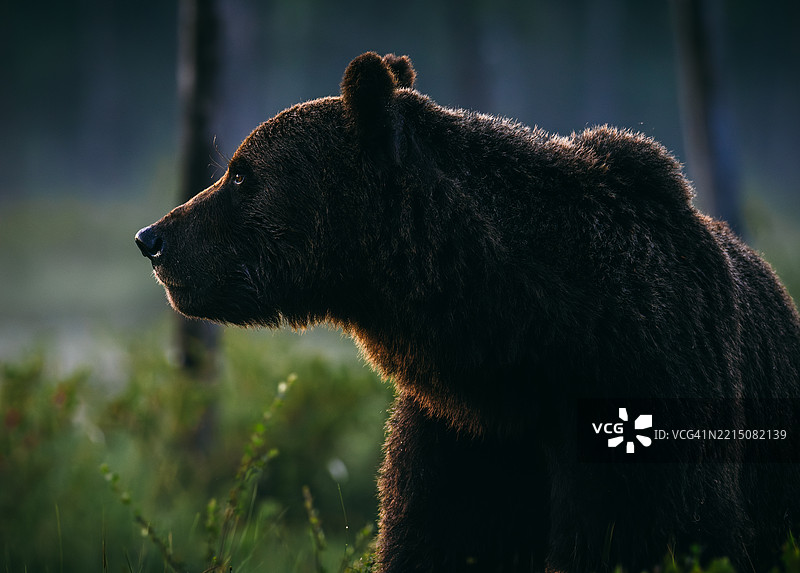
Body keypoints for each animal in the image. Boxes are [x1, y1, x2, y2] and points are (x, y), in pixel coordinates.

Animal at [135, 52, 800, 572]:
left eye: (241, 175)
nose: (153, 238)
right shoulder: (462, 433)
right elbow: (437, 536)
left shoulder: (647, 395)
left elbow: (649, 534)